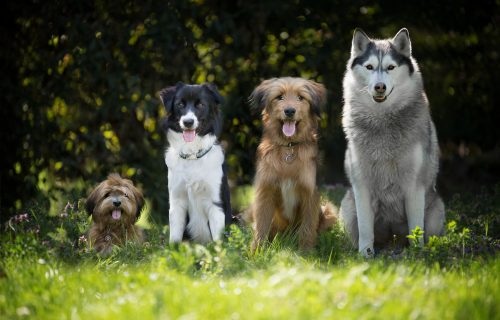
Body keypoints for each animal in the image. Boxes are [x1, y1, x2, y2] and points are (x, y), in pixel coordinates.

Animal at [249, 77, 338, 250]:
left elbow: (307, 227)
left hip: (329, 210)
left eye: (300, 98)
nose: (289, 111)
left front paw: (306, 251)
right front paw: (257, 251)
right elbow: (261, 225)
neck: (288, 147)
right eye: (279, 97)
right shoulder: (265, 191)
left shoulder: (310, 193)